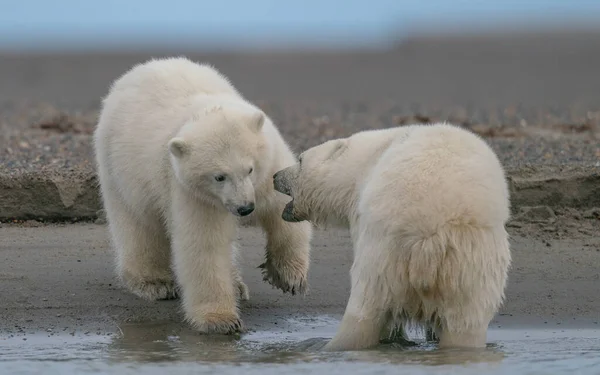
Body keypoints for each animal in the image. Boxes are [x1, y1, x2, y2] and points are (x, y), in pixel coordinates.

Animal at [94, 56, 314, 334]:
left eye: (249, 168)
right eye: (219, 177)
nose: (245, 208)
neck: (208, 108)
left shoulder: (268, 168)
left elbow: (284, 207)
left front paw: (289, 277)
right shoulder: (191, 191)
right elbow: (204, 245)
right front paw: (221, 320)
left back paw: (237, 285)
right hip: (120, 170)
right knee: (138, 226)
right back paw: (155, 283)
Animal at [272, 123, 510, 352]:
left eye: (300, 160)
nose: (275, 176)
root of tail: (429, 236)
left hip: (384, 254)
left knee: (364, 310)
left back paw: (334, 345)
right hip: (471, 266)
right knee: (465, 323)